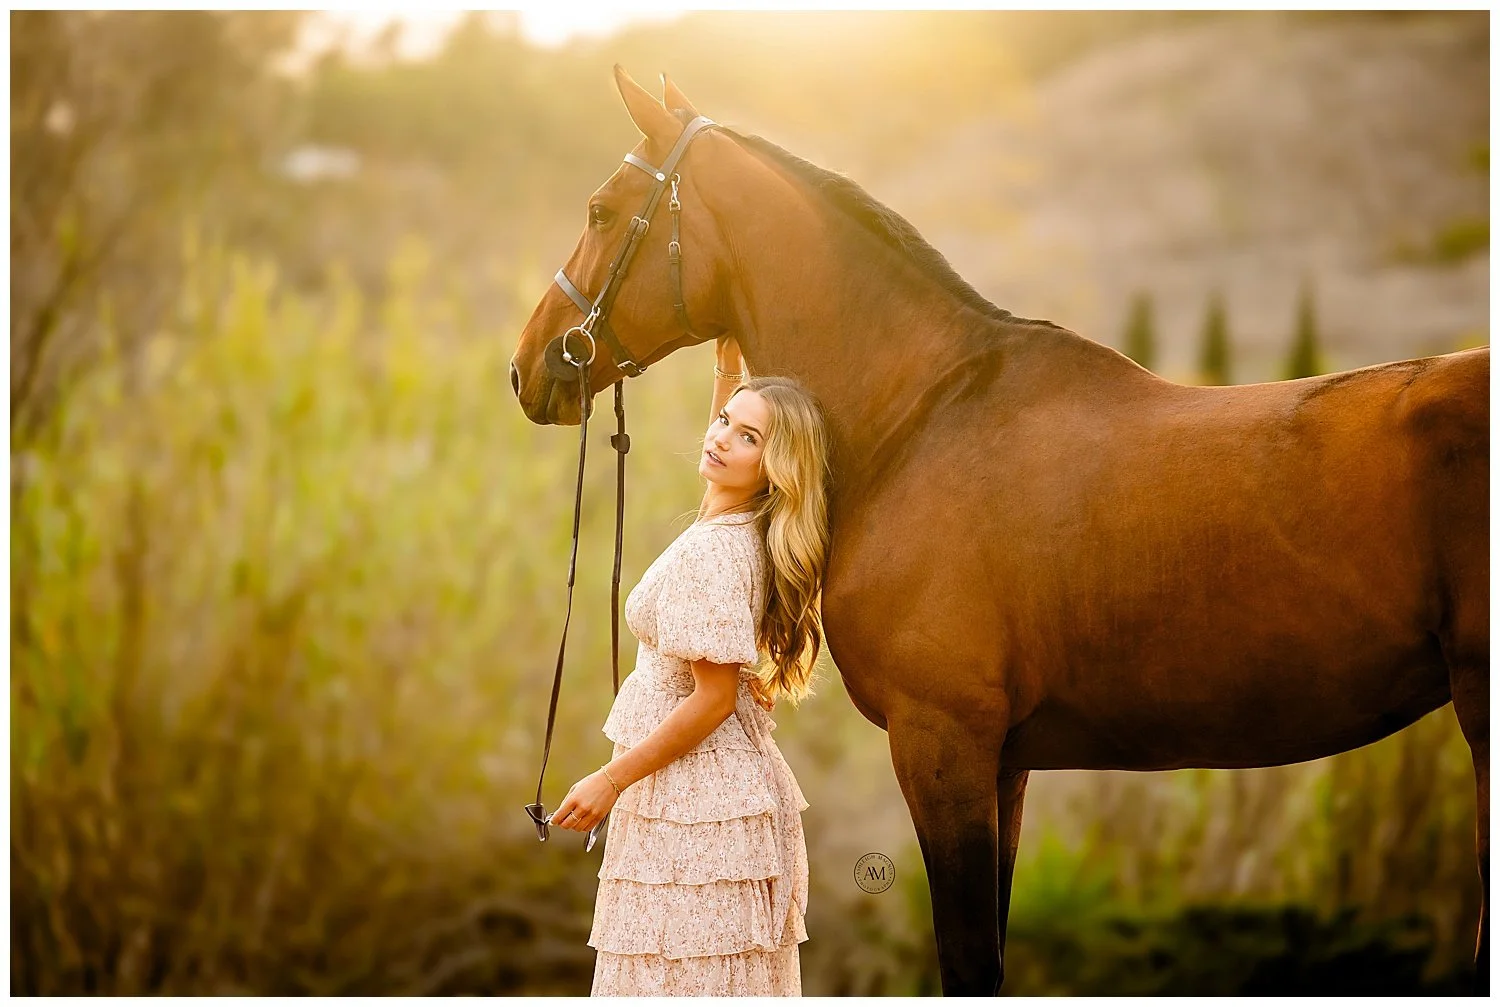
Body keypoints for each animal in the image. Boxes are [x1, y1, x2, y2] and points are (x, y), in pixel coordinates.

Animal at [509, 66, 1489, 995]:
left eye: (601, 210)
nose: (528, 367)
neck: (919, 416)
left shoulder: (943, 743)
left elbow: (968, 958)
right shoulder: (1003, 764)